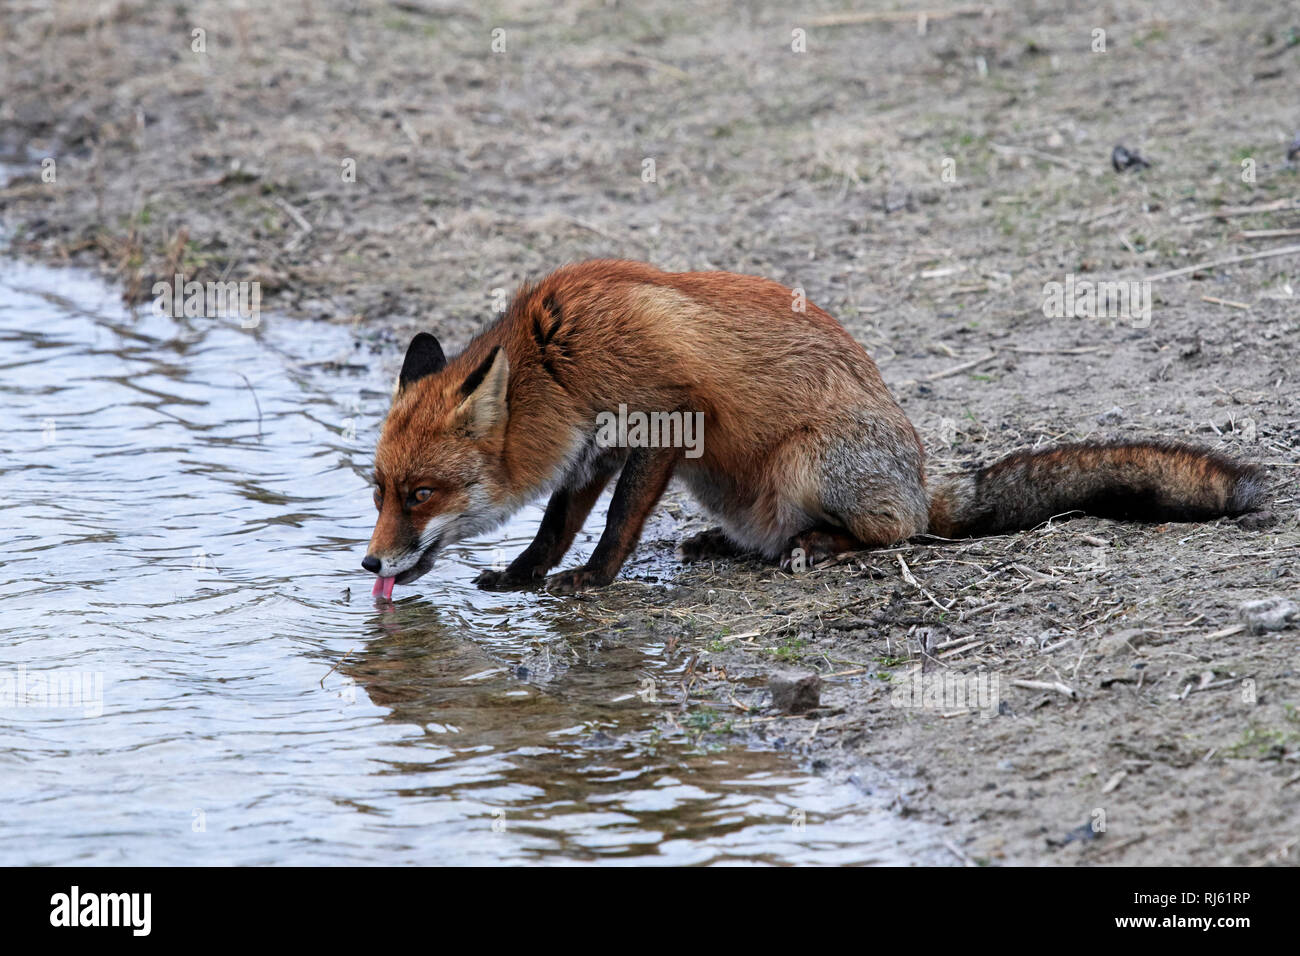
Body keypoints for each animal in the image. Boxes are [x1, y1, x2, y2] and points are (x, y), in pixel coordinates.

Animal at [361, 257, 1263, 595]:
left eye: (421, 493)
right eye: (377, 491)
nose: (370, 561)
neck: (559, 357)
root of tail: (922, 479)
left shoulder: (666, 418)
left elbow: (614, 527)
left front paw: (593, 579)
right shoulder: (596, 449)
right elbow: (555, 523)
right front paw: (524, 574)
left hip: (807, 462)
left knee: (899, 533)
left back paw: (824, 546)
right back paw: (730, 545)